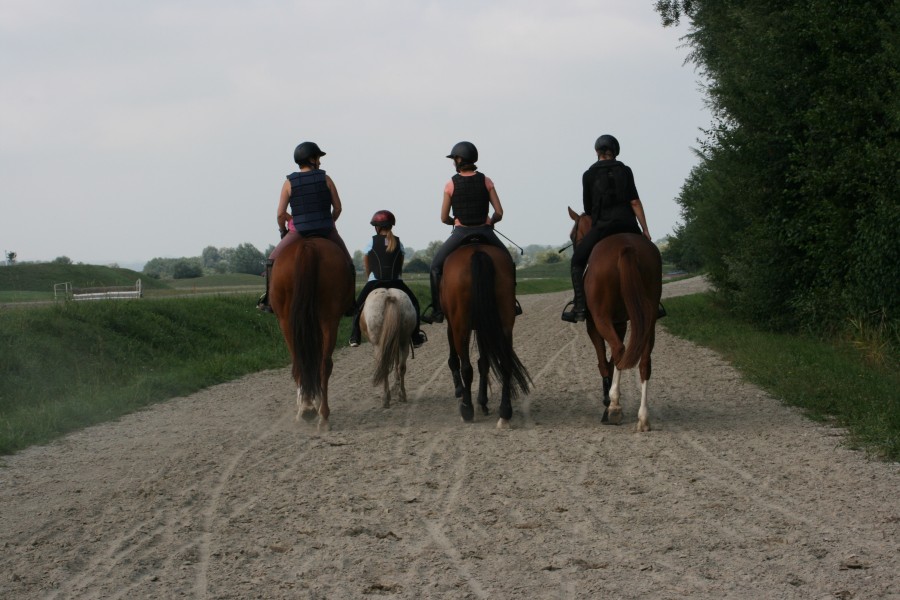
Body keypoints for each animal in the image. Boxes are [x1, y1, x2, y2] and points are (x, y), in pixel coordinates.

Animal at [268, 236, 354, 432]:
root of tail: (308, 247)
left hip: (289, 321)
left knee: (307, 362)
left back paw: (311, 410)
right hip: (324, 319)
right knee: (321, 363)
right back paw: (317, 412)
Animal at [442, 241, 532, 428]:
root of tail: (478, 251)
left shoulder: (452, 323)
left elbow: (458, 359)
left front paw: (461, 391)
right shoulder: (484, 326)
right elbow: (484, 363)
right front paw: (482, 401)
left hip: (461, 326)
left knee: (466, 367)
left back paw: (467, 410)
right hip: (504, 323)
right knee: (506, 365)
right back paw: (504, 412)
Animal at [568, 207, 660, 432]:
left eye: (572, 235)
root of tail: (626, 247)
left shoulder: (594, 324)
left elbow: (604, 362)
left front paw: (607, 401)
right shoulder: (619, 322)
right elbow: (611, 362)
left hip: (601, 317)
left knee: (620, 350)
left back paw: (615, 406)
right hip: (649, 319)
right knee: (644, 362)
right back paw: (643, 418)